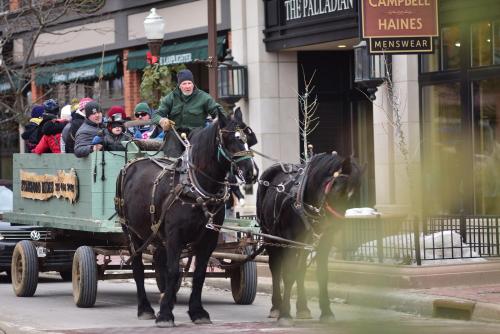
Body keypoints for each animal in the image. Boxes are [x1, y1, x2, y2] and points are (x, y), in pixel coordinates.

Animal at [116, 109, 258, 326]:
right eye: (229, 139)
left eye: (248, 138)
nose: (251, 172)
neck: (194, 185)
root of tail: (132, 163)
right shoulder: (175, 235)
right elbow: (174, 271)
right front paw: (165, 315)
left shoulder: (209, 238)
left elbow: (198, 274)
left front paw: (197, 311)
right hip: (132, 232)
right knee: (138, 267)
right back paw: (145, 308)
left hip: (156, 234)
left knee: (159, 262)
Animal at [258, 153, 360, 324]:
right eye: (336, 189)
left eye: (353, 196)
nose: (336, 225)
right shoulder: (290, 240)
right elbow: (288, 273)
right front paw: (285, 315)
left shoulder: (323, 241)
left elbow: (321, 274)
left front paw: (326, 312)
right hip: (270, 237)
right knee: (276, 268)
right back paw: (276, 307)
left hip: (304, 243)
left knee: (301, 269)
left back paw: (302, 308)